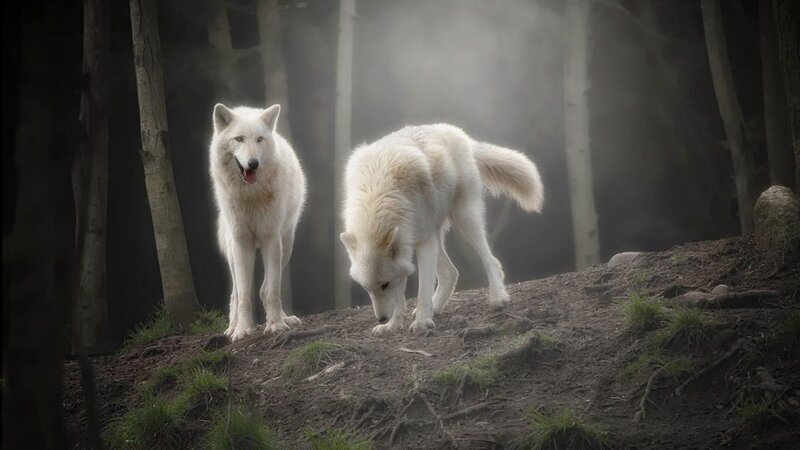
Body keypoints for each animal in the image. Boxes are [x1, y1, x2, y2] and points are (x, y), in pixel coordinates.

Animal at [209, 103, 307, 342]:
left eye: (260, 139)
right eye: (239, 139)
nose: (253, 163)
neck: (250, 195)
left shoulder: (271, 239)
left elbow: (272, 290)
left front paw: (276, 325)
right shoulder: (241, 242)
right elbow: (244, 295)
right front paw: (243, 330)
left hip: (285, 245)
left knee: (266, 288)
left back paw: (284, 318)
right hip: (233, 252)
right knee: (235, 294)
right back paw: (231, 327)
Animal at [340, 124, 544, 334]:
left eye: (384, 284)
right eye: (367, 288)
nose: (381, 318)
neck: (378, 193)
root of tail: (456, 132)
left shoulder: (423, 242)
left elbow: (423, 290)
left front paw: (421, 322)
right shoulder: (407, 247)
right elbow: (401, 297)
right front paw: (393, 325)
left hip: (464, 219)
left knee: (490, 260)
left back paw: (498, 297)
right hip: (436, 233)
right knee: (451, 273)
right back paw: (435, 307)